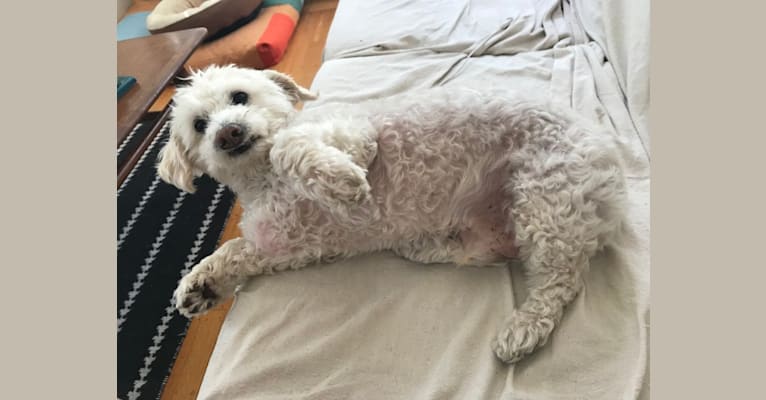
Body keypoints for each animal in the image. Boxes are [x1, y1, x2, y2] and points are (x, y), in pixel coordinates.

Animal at [158, 65, 632, 362]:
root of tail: (610, 158)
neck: (262, 181)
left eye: (240, 96)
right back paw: (430, 243)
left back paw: (525, 327)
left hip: (547, 199)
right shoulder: (288, 247)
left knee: (559, 282)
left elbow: (288, 147)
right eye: (199, 125)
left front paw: (341, 182)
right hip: (493, 232)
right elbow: (236, 250)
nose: (227, 132)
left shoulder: (356, 138)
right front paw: (201, 284)